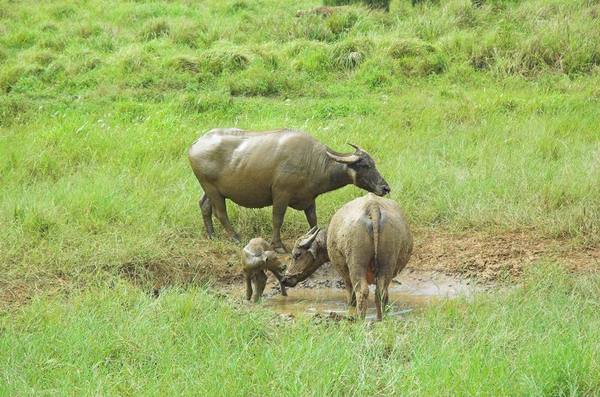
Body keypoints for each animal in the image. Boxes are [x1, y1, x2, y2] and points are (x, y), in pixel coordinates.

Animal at [190, 127, 392, 251]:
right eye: (365, 165)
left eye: (373, 163)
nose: (385, 188)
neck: (314, 162)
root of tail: (195, 145)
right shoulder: (281, 194)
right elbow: (277, 218)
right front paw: (278, 245)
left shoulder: (309, 199)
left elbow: (313, 221)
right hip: (212, 189)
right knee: (220, 213)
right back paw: (235, 238)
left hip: (209, 189)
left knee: (204, 206)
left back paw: (212, 235)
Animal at [282, 193, 412, 320]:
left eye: (297, 254)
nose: (285, 279)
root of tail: (372, 206)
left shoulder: (343, 272)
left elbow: (351, 296)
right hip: (387, 263)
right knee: (381, 292)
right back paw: (380, 319)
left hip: (356, 264)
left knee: (362, 291)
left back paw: (360, 319)